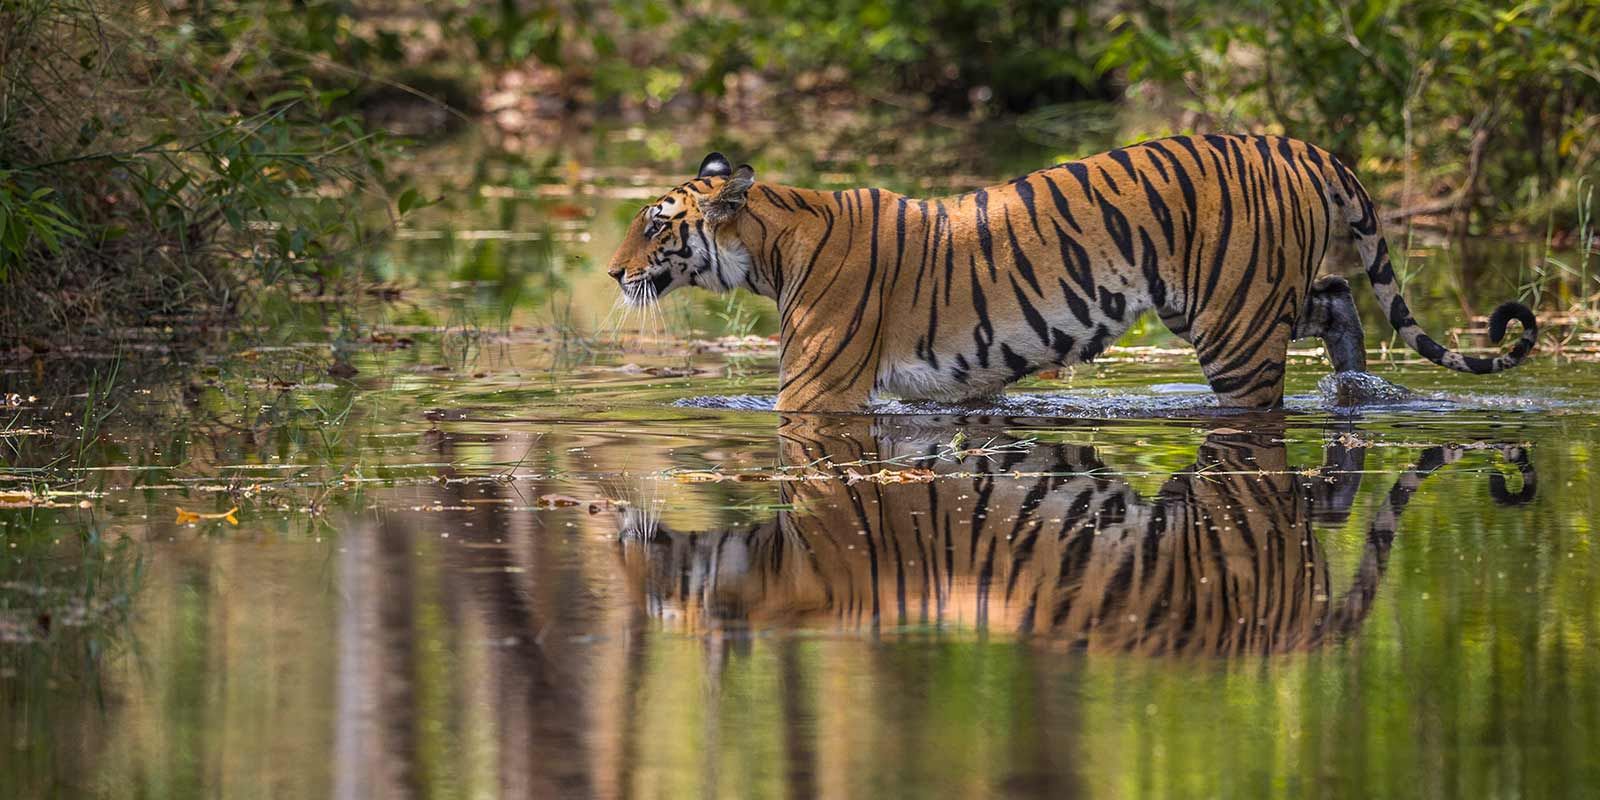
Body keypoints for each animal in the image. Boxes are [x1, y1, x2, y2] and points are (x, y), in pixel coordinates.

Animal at [605, 136, 1539, 412]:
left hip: (1234, 325)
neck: (772, 245)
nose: (613, 275)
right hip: (1241, 298)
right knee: (1340, 297)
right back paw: (1354, 390)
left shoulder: (815, 392)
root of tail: (1298, 144)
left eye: (654, 223)